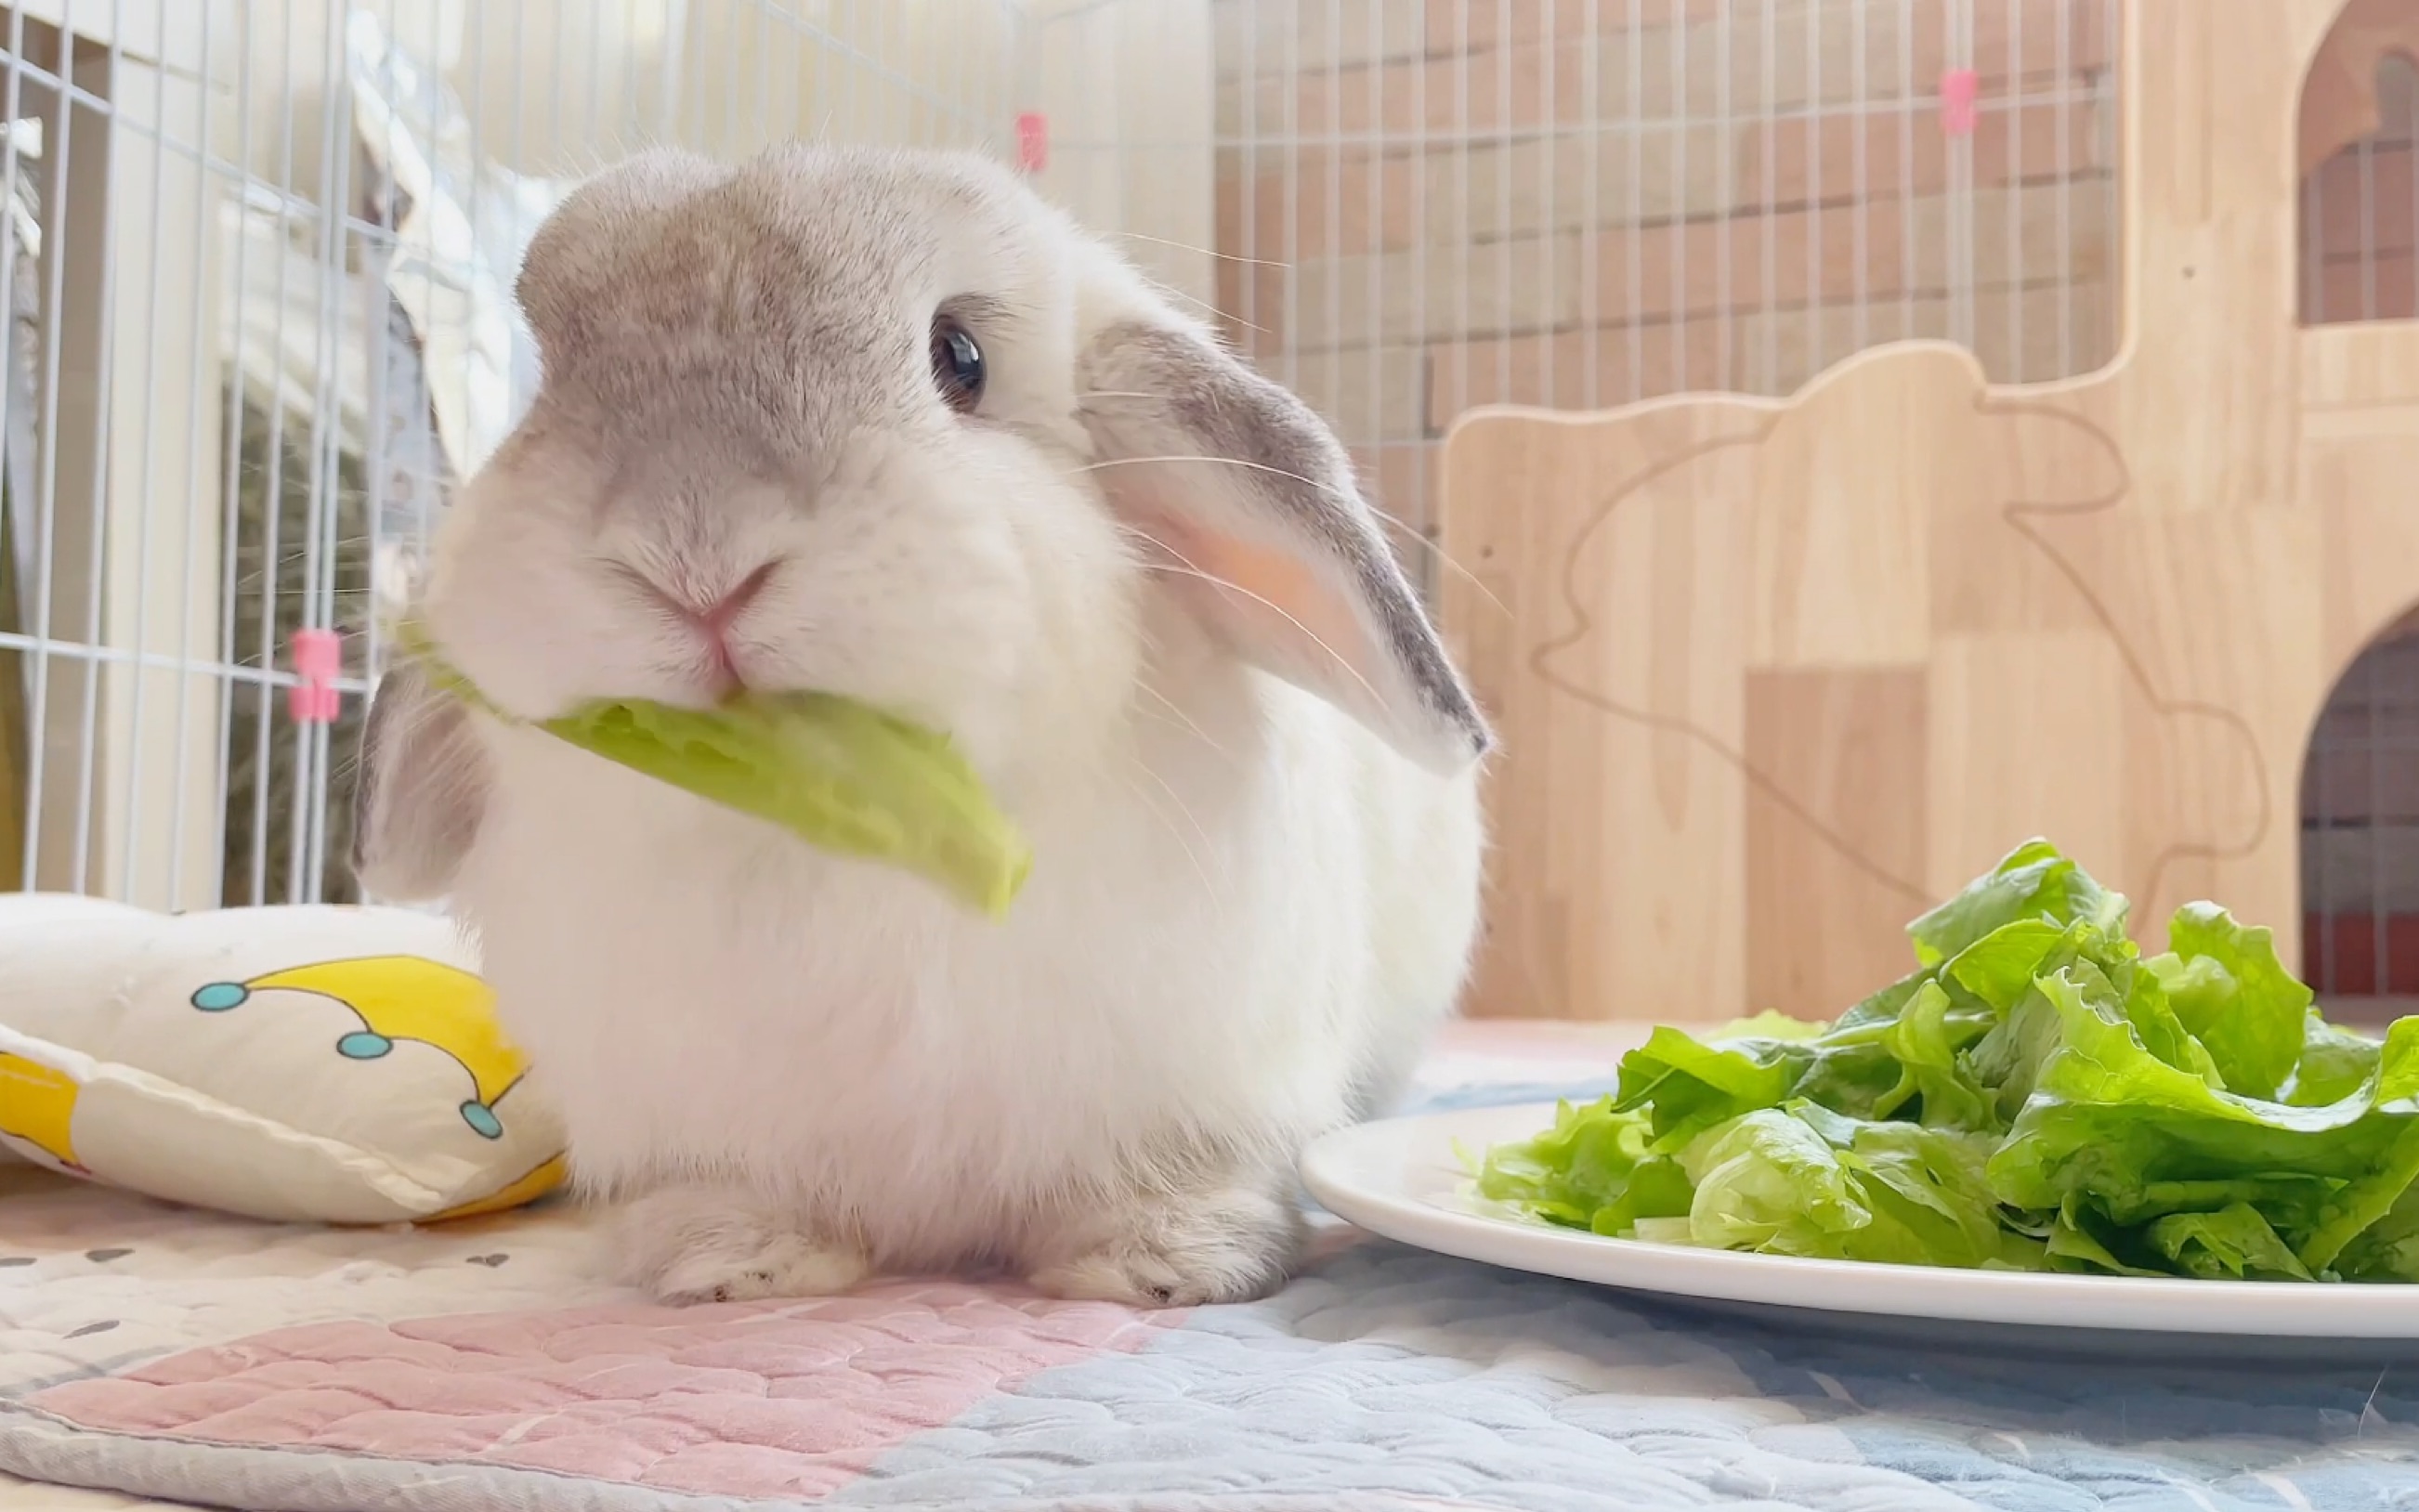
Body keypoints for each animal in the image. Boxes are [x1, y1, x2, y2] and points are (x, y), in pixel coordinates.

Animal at [353, 150, 1490, 1306]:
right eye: (545, 386)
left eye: (961, 358)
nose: (694, 555)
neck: (835, 843)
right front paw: (734, 1262)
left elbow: (1177, 1172)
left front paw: (1163, 1261)